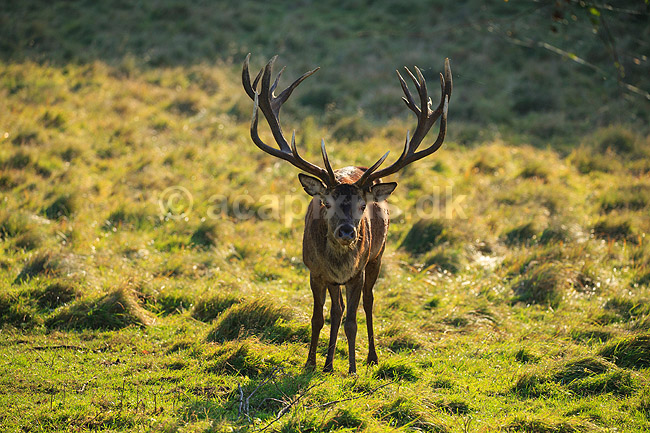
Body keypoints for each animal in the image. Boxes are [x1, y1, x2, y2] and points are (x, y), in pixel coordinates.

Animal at [242, 54, 452, 374]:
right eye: (326, 203)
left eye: (362, 206)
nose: (346, 232)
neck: (339, 265)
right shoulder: (315, 271)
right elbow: (319, 317)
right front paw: (312, 364)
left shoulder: (356, 272)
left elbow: (352, 320)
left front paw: (352, 368)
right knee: (337, 310)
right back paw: (328, 363)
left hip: (377, 256)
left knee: (368, 302)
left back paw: (371, 357)